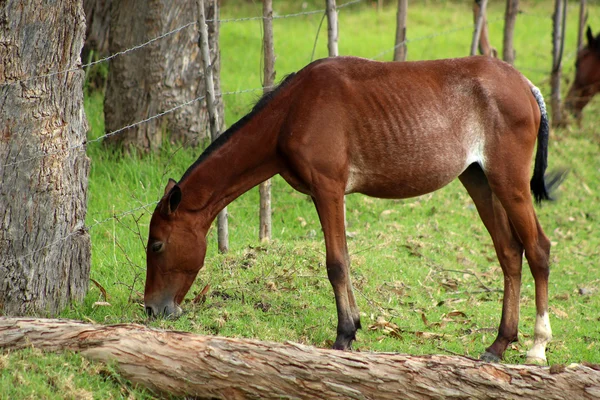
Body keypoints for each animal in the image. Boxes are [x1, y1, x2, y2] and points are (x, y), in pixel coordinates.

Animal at [144, 54, 564, 364]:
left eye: (157, 246)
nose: (152, 309)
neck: (293, 110)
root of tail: (526, 85)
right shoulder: (329, 195)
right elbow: (343, 258)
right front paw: (354, 326)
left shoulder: (328, 190)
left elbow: (335, 263)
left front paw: (344, 334)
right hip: (479, 181)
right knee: (509, 253)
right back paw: (499, 344)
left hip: (509, 185)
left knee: (538, 250)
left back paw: (537, 346)